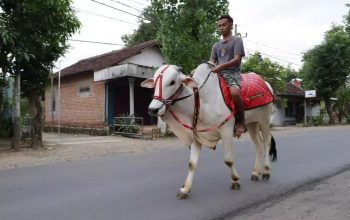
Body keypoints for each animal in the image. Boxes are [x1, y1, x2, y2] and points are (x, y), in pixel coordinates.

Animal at [140, 62, 276, 199]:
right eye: (154, 82)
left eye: (172, 82)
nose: (153, 109)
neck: (199, 101)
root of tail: (266, 83)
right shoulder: (196, 135)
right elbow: (192, 164)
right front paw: (185, 189)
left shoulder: (226, 130)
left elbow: (228, 160)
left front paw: (235, 181)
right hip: (251, 124)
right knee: (258, 145)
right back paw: (255, 173)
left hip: (264, 120)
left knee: (266, 143)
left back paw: (266, 171)